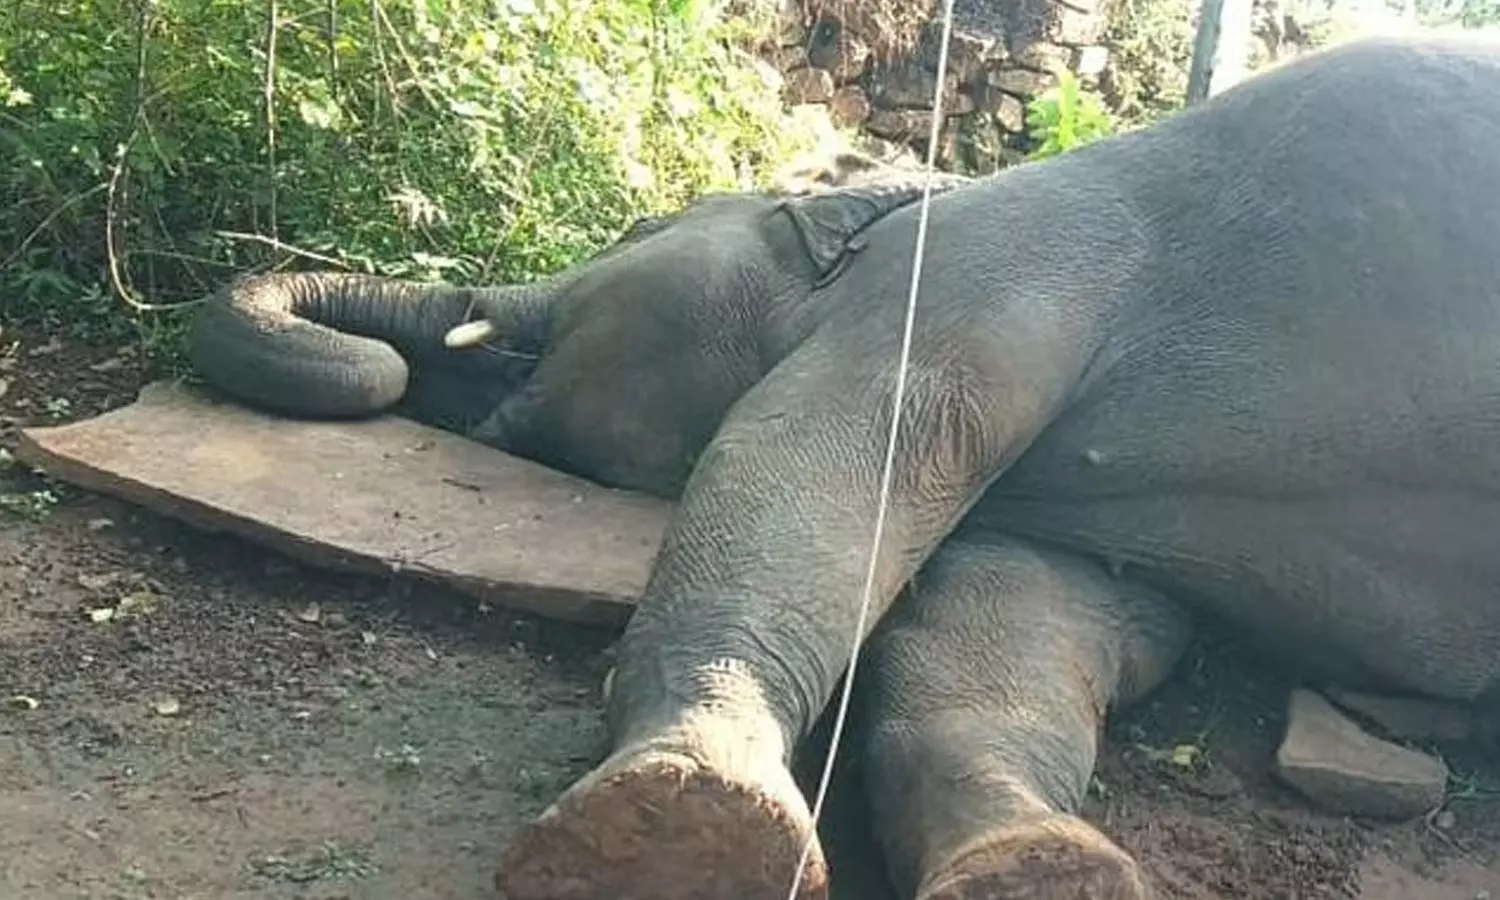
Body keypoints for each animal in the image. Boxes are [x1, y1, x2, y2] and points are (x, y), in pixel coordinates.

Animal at [185, 35, 1500, 900]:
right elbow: (1022, 611)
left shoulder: (984, 268)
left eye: (631, 233)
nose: (399, 367)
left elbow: (815, 456)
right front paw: (1034, 870)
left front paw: (678, 822)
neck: (921, 183)